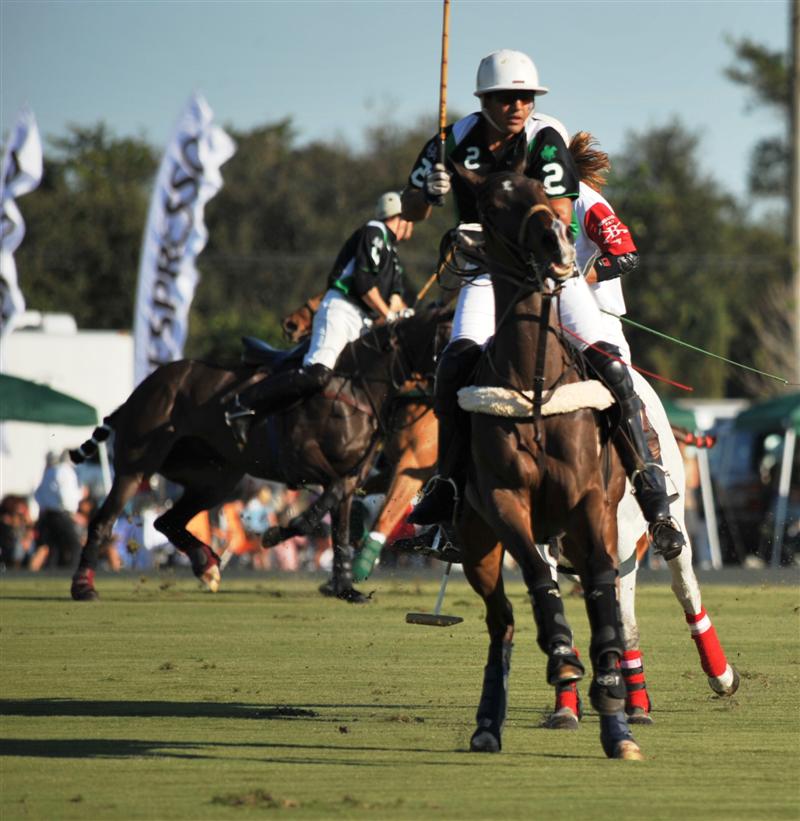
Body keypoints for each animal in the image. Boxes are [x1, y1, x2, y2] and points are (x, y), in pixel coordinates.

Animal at [68, 305, 448, 604]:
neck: (357, 387)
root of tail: (140, 390)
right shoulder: (303, 457)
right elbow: (333, 496)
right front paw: (281, 531)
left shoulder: (356, 472)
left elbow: (339, 527)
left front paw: (345, 588)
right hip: (137, 464)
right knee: (103, 521)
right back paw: (83, 587)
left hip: (216, 478)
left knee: (166, 519)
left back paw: (206, 564)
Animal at [448, 159, 644, 759]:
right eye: (490, 206)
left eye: (544, 188)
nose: (556, 245)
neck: (534, 386)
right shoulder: (503, 502)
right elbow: (537, 577)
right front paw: (562, 654)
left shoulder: (589, 503)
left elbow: (602, 583)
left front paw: (609, 683)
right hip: (475, 544)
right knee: (501, 621)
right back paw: (488, 722)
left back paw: (619, 723)